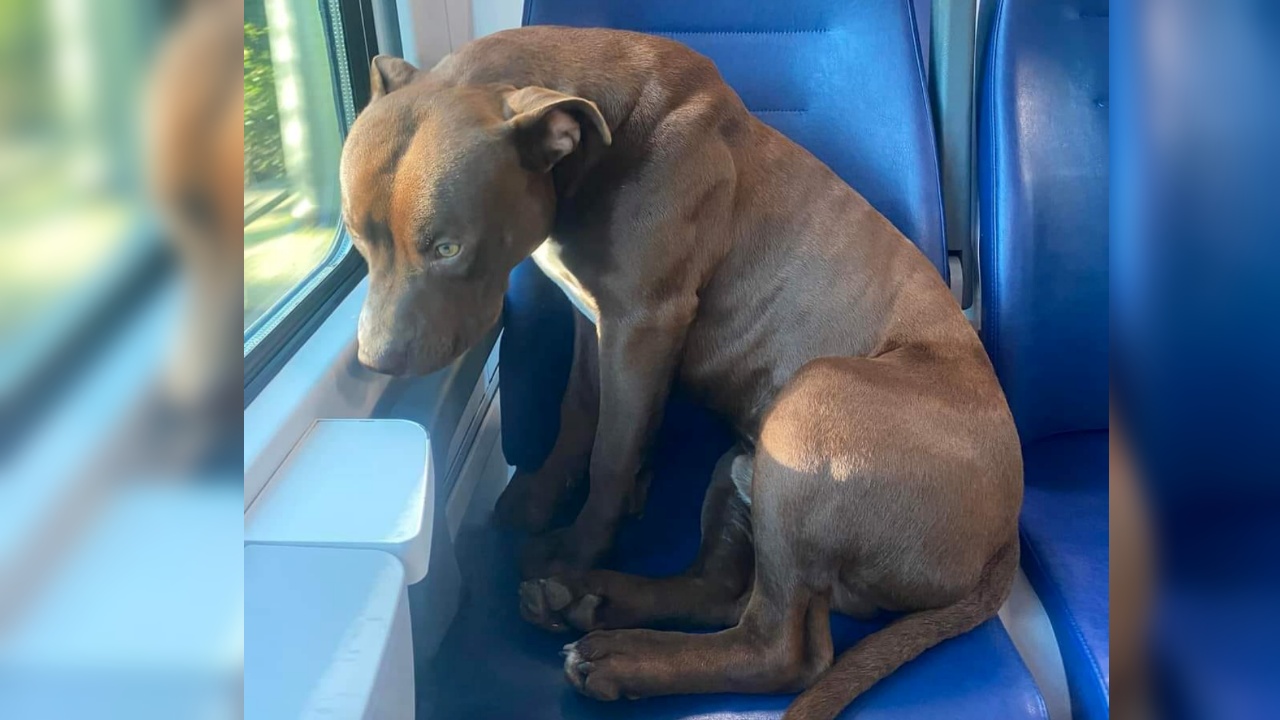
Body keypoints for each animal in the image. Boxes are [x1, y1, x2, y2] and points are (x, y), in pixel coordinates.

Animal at [337, 26, 1018, 717]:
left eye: (448, 248)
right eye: (356, 237)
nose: (375, 358)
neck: (600, 133)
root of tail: (1001, 539)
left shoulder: (644, 324)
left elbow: (612, 454)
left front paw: (576, 549)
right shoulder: (595, 322)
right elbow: (578, 413)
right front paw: (540, 501)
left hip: (813, 405)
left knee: (780, 647)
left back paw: (617, 648)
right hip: (744, 468)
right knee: (719, 591)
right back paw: (592, 600)